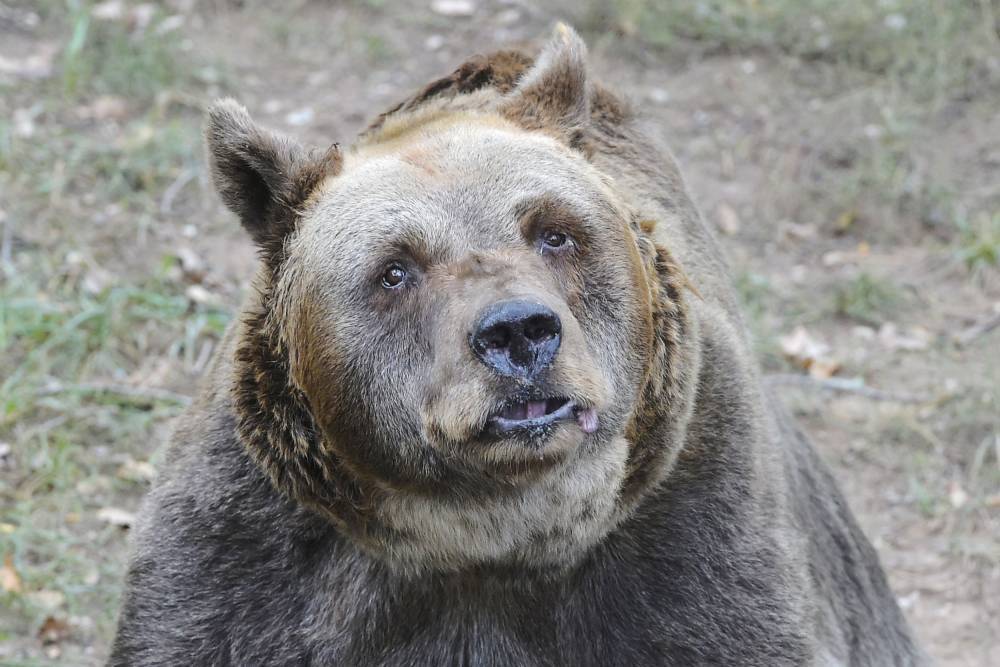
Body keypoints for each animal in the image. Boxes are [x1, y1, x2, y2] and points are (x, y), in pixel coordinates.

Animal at [107, 23, 920, 664]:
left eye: (554, 231)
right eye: (395, 268)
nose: (519, 332)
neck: (488, 539)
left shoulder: (697, 539)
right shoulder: (251, 553)